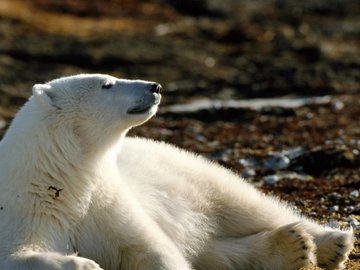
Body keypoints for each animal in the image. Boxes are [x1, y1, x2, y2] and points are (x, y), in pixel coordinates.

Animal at [0, 74, 354, 270]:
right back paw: (291, 247)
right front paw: (83, 263)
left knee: (245, 205)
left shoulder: (106, 200)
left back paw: (330, 242)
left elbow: (151, 248)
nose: (154, 86)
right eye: (107, 84)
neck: (63, 174)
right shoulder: (27, 207)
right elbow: (18, 254)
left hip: (189, 171)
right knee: (214, 251)